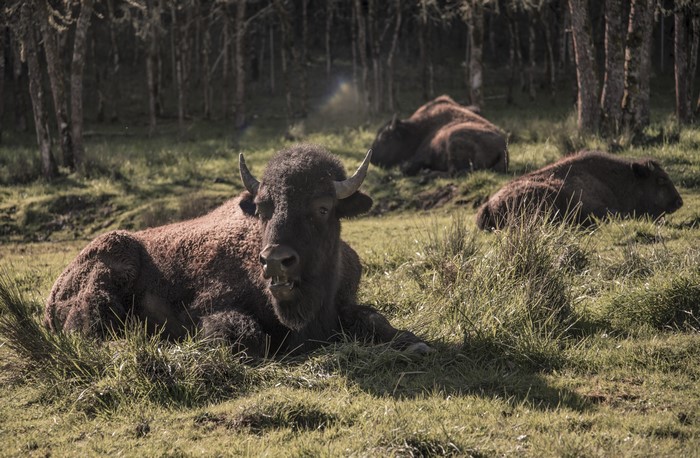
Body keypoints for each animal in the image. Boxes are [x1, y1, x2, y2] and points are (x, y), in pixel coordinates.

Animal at [44, 144, 429, 356]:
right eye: (262, 208)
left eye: (323, 207)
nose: (275, 261)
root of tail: (53, 292)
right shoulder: (209, 307)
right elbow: (248, 336)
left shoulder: (346, 302)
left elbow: (374, 319)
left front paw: (413, 343)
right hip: (108, 274)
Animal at [370, 95, 508, 176]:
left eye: (385, 137)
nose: (372, 159)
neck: (417, 129)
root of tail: (503, 148)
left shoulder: (422, 155)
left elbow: (406, 167)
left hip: (453, 138)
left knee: (453, 172)